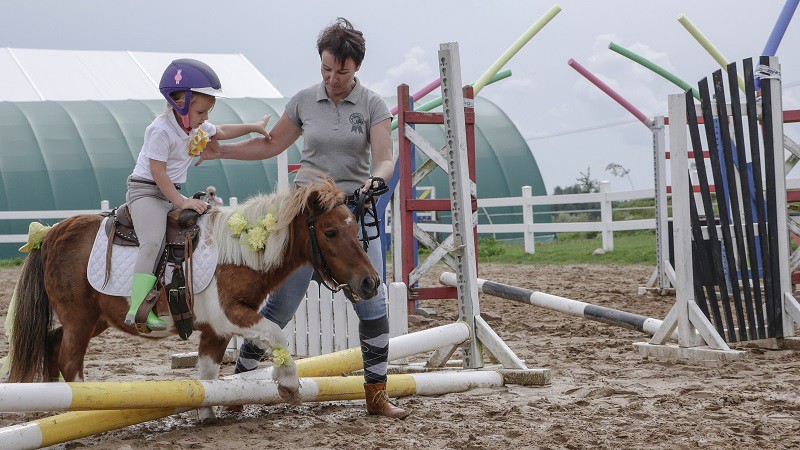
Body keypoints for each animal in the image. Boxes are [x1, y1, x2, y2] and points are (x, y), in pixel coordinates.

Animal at [5, 177, 379, 407]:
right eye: (330, 232)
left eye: (355, 227)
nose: (370, 282)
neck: (237, 252)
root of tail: (49, 234)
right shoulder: (230, 316)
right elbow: (276, 333)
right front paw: (288, 382)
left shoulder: (215, 330)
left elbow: (208, 376)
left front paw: (206, 413)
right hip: (80, 320)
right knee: (70, 361)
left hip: (95, 319)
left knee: (53, 344)